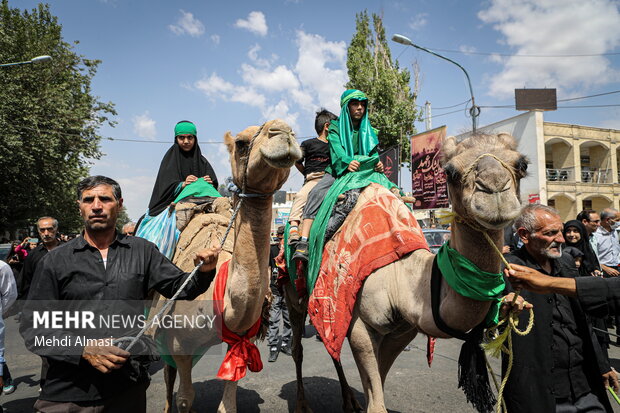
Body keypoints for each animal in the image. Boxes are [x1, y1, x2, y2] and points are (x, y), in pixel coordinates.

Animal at [160, 119, 302, 412]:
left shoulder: (239, 338)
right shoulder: (179, 343)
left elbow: (228, 404)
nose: (283, 131)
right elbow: (184, 397)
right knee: (168, 376)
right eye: (241, 143)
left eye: (293, 132)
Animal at [286, 133, 528, 412]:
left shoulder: (402, 331)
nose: (495, 191)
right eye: (450, 171)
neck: (400, 276)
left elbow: (377, 383)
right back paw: (302, 404)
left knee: (332, 347)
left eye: (522, 164)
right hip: (294, 295)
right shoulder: (360, 325)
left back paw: (348, 402)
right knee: (298, 347)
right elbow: (375, 400)